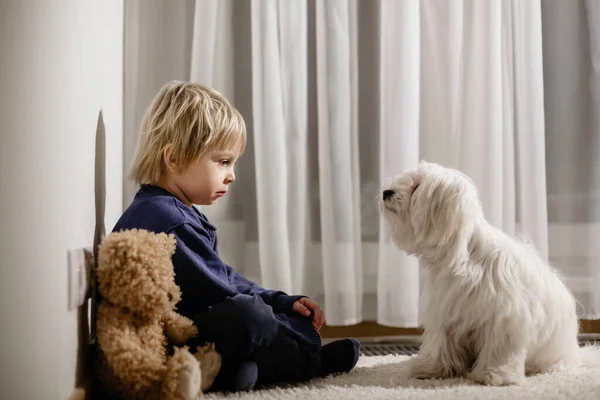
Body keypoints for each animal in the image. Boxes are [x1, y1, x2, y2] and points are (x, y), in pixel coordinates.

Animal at [380, 162, 580, 384]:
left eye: (416, 186)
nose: (386, 192)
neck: (462, 255)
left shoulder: (504, 317)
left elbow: (498, 349)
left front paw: (494, 374)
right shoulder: (445, 312)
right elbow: (441, 342)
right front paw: (433, 368)